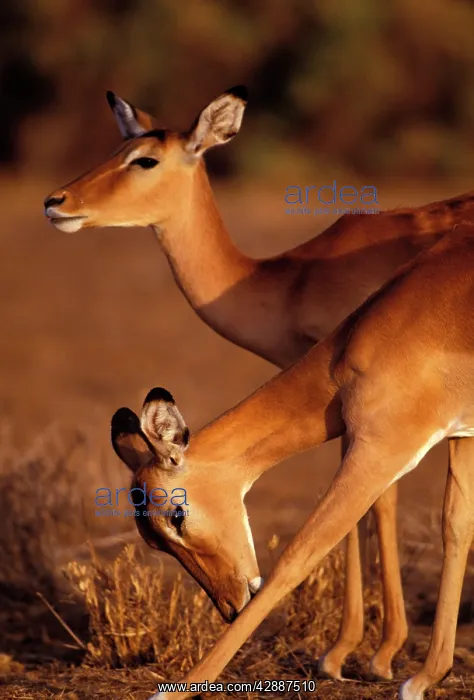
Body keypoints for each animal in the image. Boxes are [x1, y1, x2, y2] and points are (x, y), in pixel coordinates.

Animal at [113, 221, 474, 700]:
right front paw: (426, 676)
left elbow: (299, 554)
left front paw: (176, 689)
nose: (231, 606)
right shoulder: (462, 434)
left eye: (176, 516)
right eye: (154, 544)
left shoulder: (380, 448)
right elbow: (456, 525)